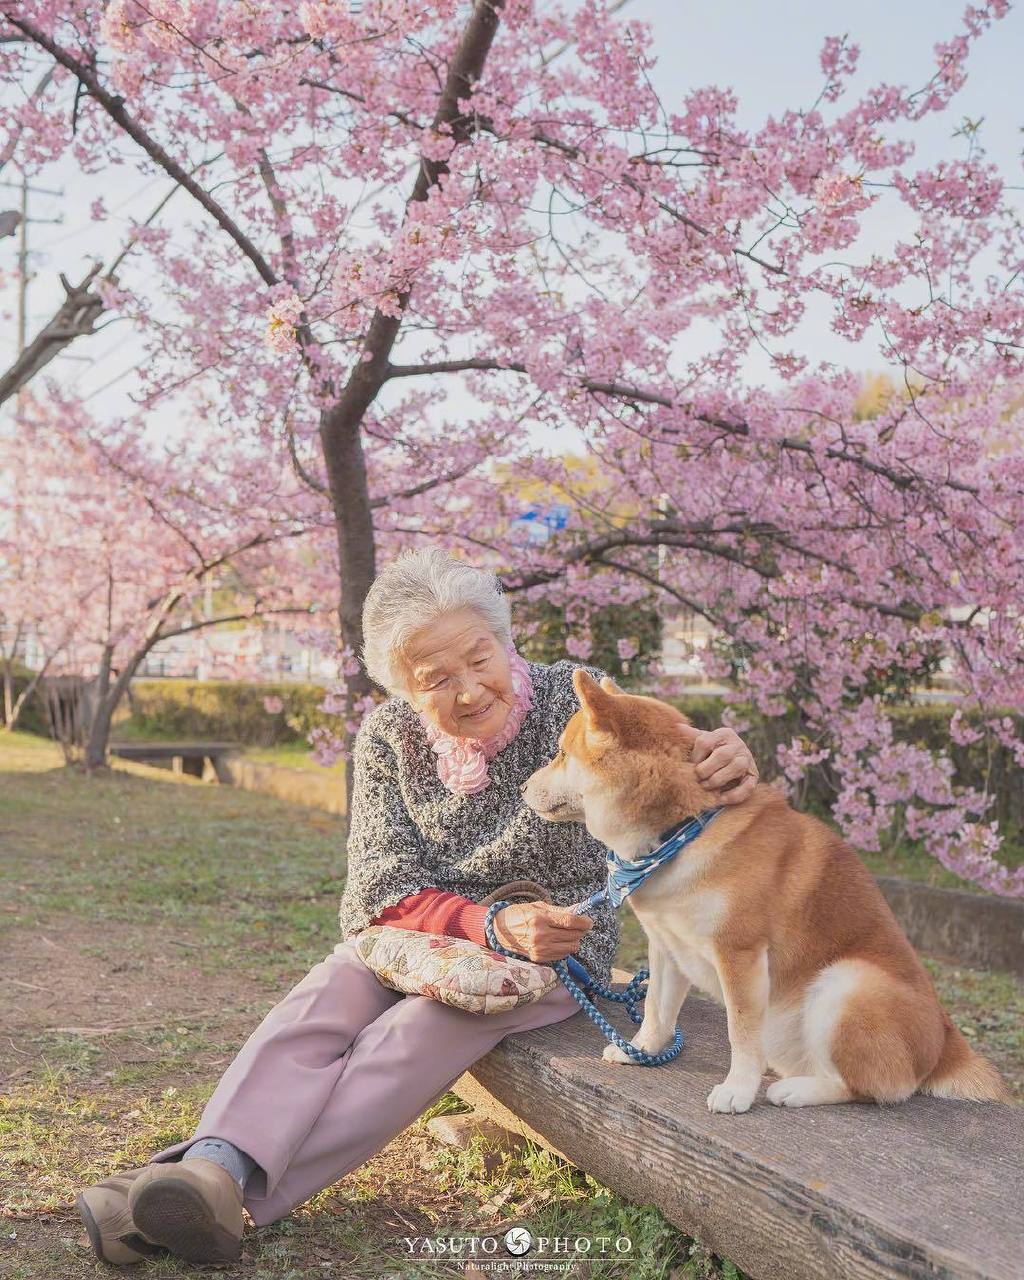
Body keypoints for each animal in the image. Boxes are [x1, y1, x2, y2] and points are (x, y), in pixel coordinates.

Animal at [519, 675, 1008, 1116]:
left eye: (561, 753)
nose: (522, 787)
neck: (682, 831)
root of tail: (946, 1043)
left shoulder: (740, 954)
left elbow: (740, 1033)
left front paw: (737, 1090)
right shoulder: (667, 945)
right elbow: (657, 1009)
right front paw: (642, 1050)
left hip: (846, 983)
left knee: (871, 1088)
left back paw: (797, 1091)